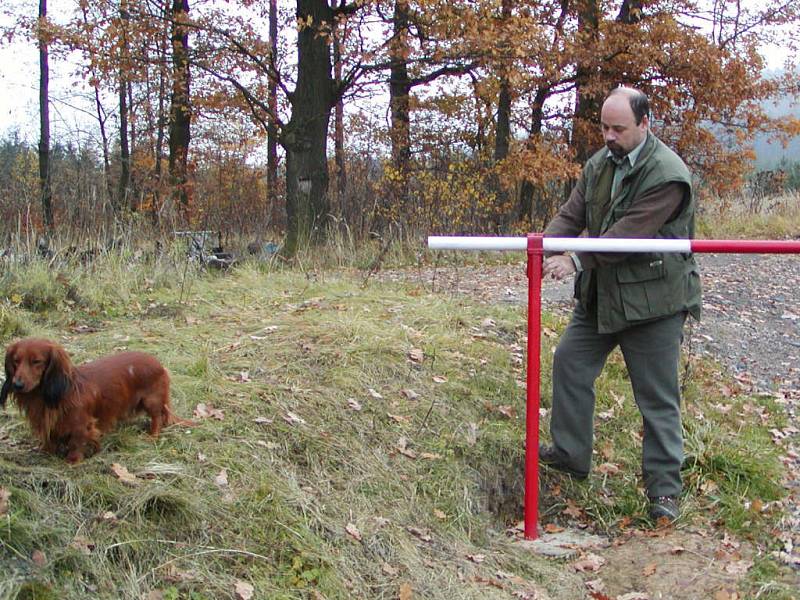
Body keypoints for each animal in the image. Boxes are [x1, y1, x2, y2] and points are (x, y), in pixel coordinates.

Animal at [1, 340, 184, 462]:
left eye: (36, 361)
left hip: (151, 401)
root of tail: (158, 363)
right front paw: (46, 453)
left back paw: (152, 435)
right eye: (16, 361)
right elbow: (50, 439)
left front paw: (72, 461)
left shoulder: (82, 426)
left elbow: (76, 443)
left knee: (157, 417)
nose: (17, 384)